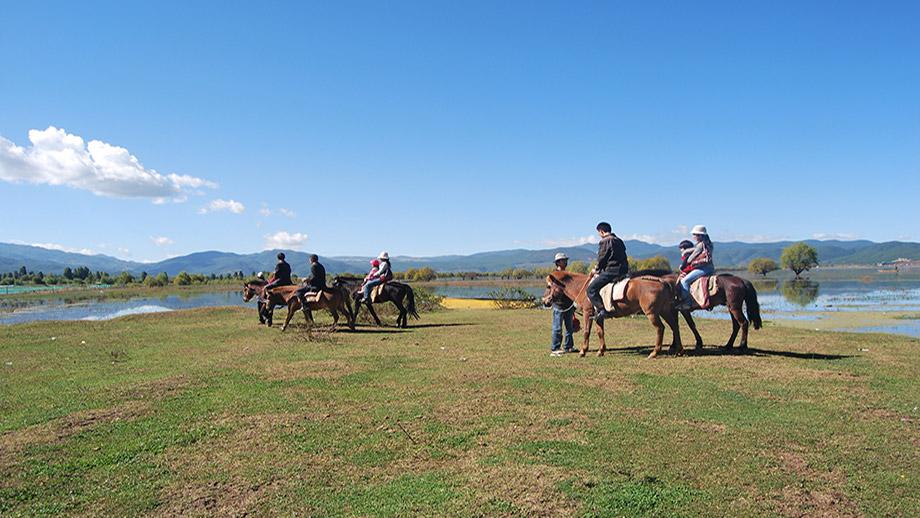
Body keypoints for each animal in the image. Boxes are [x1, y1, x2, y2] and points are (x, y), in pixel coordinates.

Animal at [540, 270, 684, 360]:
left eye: (548, 286)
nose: (545, 301)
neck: (582, 287)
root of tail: (662, 281)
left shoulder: (588, 313)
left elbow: (586, 332)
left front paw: (583, 351)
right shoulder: (598, 316)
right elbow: (600, 332)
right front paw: (601, 351)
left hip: (652, 313)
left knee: (661, 328)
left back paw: (654, 353)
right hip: (664, 311)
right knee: (674, 327)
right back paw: (679, 350)